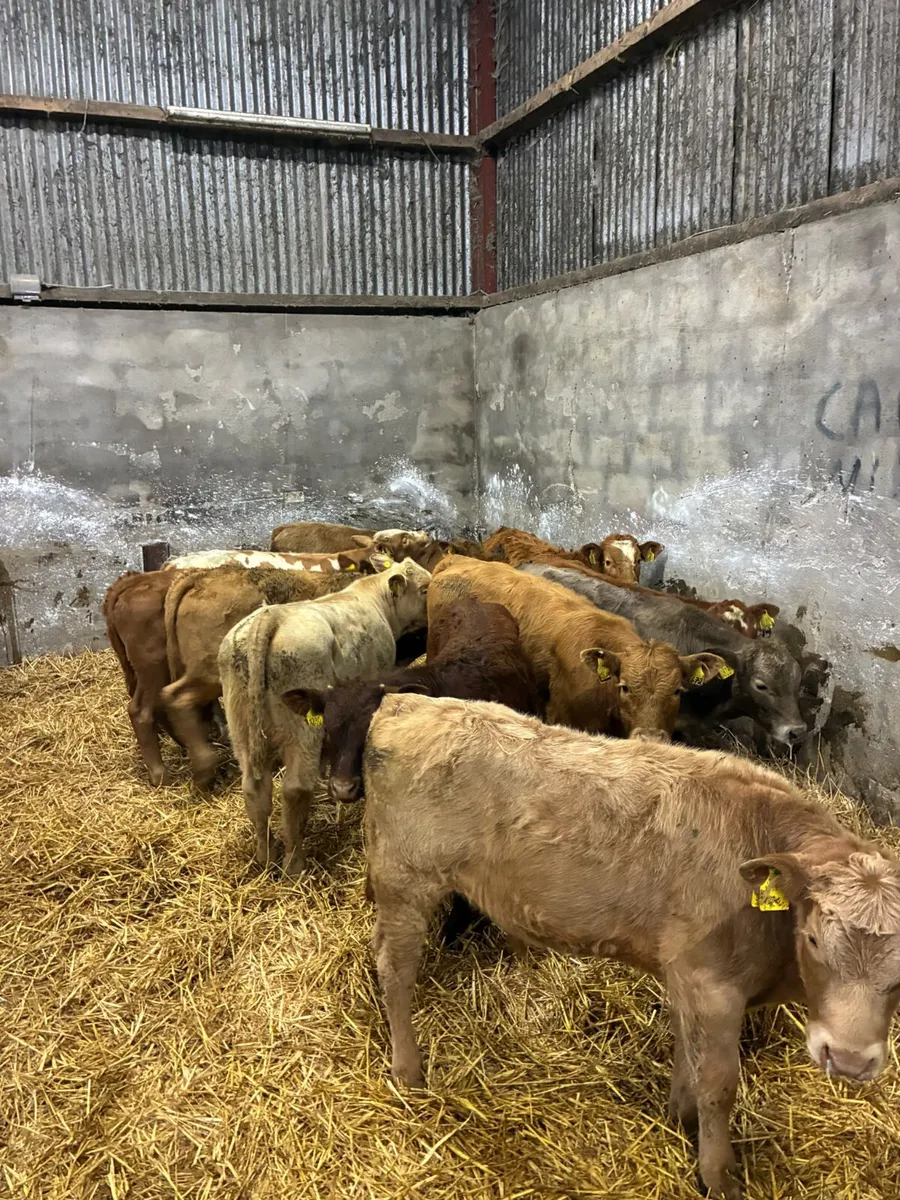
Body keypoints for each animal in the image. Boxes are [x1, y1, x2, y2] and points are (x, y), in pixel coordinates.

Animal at [218, 558, 431, 876]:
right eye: (426, 589)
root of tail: (271, 616)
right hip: (303, 729)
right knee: (294, 789)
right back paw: (294, 865)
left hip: (241, 728)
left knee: (255, 789)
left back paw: (265, 856)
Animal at [363, 693, 900, 1199]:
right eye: (813, 938)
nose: (849, 1060)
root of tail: (407, 703)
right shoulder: (712, 987)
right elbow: (718, 1084)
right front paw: (718, 1175)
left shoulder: (687, 978)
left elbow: (689, 1059)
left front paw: (680, 1118)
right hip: (407, 880)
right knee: (394, 969)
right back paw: (408, 1071)